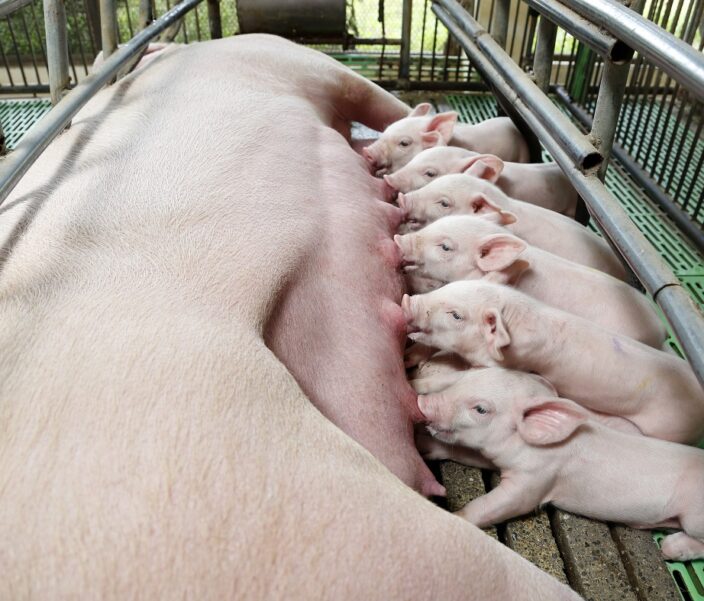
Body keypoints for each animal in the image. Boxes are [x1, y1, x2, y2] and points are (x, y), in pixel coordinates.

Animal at [418, 371, 704, 561]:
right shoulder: (492, 456)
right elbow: (463, 453)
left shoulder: (536, 480)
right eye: (463, 379)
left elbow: (496, 505)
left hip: (694, 517)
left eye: (480, 409)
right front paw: (423, 446)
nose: (423, 402)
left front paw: (452, 517)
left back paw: (669, 548)